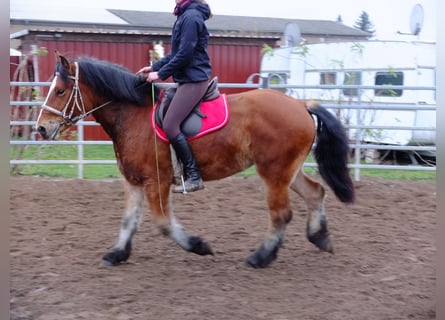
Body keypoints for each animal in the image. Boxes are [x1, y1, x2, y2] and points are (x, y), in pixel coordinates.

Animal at [34, 52, 354, 268]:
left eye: (60, 90)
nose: (41, 128)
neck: (133, 115)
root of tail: (302, 105)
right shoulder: (134, 180)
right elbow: (128, 220)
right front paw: (117, 253)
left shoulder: (156, 181)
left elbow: (164, 223)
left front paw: (199, 245)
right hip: (288, 170)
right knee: (315, 193)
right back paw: (320, 238)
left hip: (273, 173)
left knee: (281, 214)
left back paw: (261, 257)